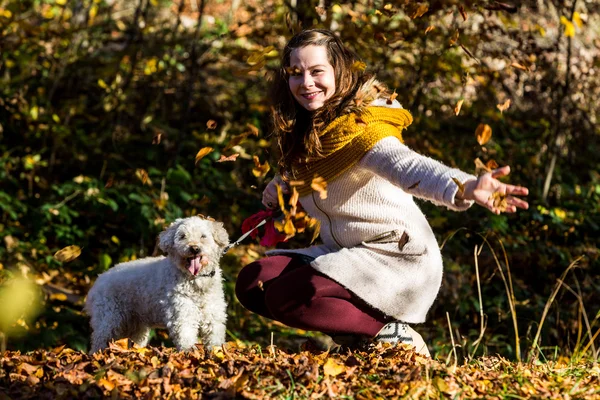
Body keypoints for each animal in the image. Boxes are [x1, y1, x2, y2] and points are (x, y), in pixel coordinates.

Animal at [86, 216, 230, 354]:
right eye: (182, 236)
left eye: (203, 236)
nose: (194, 248)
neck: (196, 279)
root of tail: (98, 281)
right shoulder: (182, 312)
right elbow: (186, 334)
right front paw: (189, 352)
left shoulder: (213, 313)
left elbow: (214, 336)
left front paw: (216, 352)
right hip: (108, 318)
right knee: (100, 340)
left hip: (135, 325)